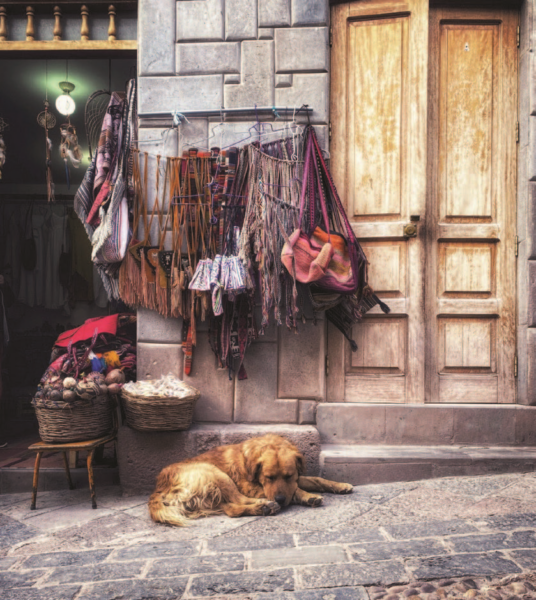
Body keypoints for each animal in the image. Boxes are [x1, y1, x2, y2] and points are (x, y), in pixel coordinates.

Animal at [149, 434, 354, 528]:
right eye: (269, 477)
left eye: (288, 475)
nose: (280, 500)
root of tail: (159, 486)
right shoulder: (251, 487)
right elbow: (295, 491)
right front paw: (309, 497)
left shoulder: (294, 479)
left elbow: (315, 479)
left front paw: (340, 485)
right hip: (216, 473)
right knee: (237, 501)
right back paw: (265, 505)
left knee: (231, 509)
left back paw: (263, 507)